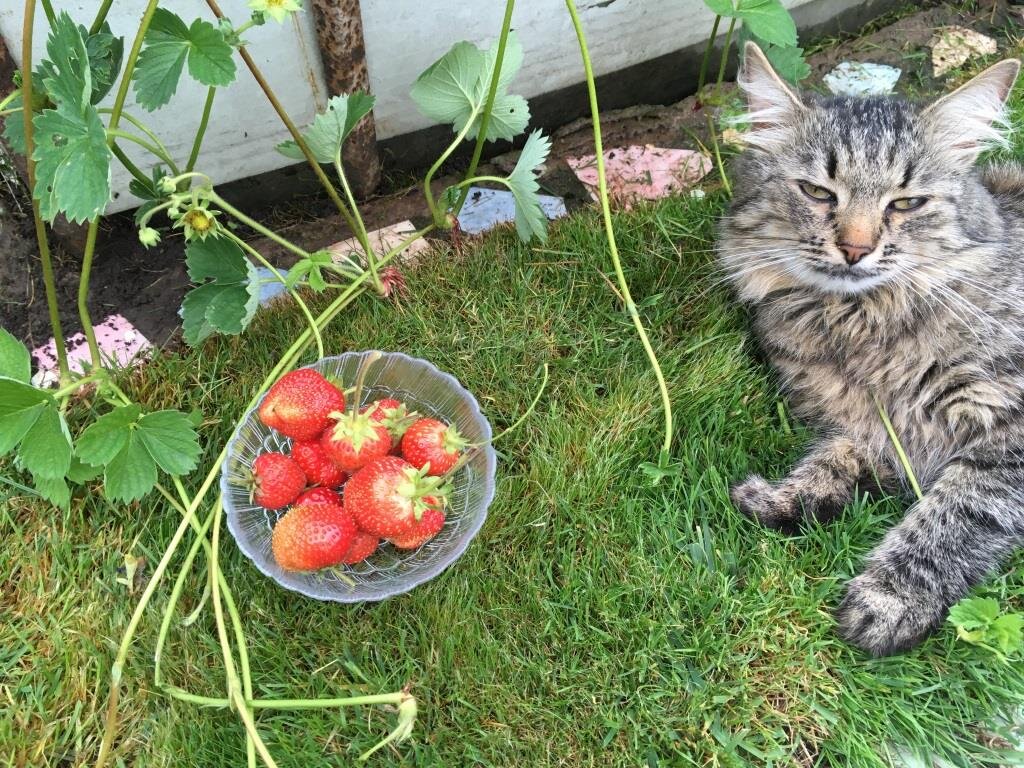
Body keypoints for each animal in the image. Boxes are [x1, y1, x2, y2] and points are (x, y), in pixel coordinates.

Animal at [720, 41, 1024, 655]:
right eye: (817, 192)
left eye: (906, 204)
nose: (856, 249)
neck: (862, 324)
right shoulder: (867, 428)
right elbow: (830, 464)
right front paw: (780, 500)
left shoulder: (1008, 428)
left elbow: (956, 512)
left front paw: (888, 600)